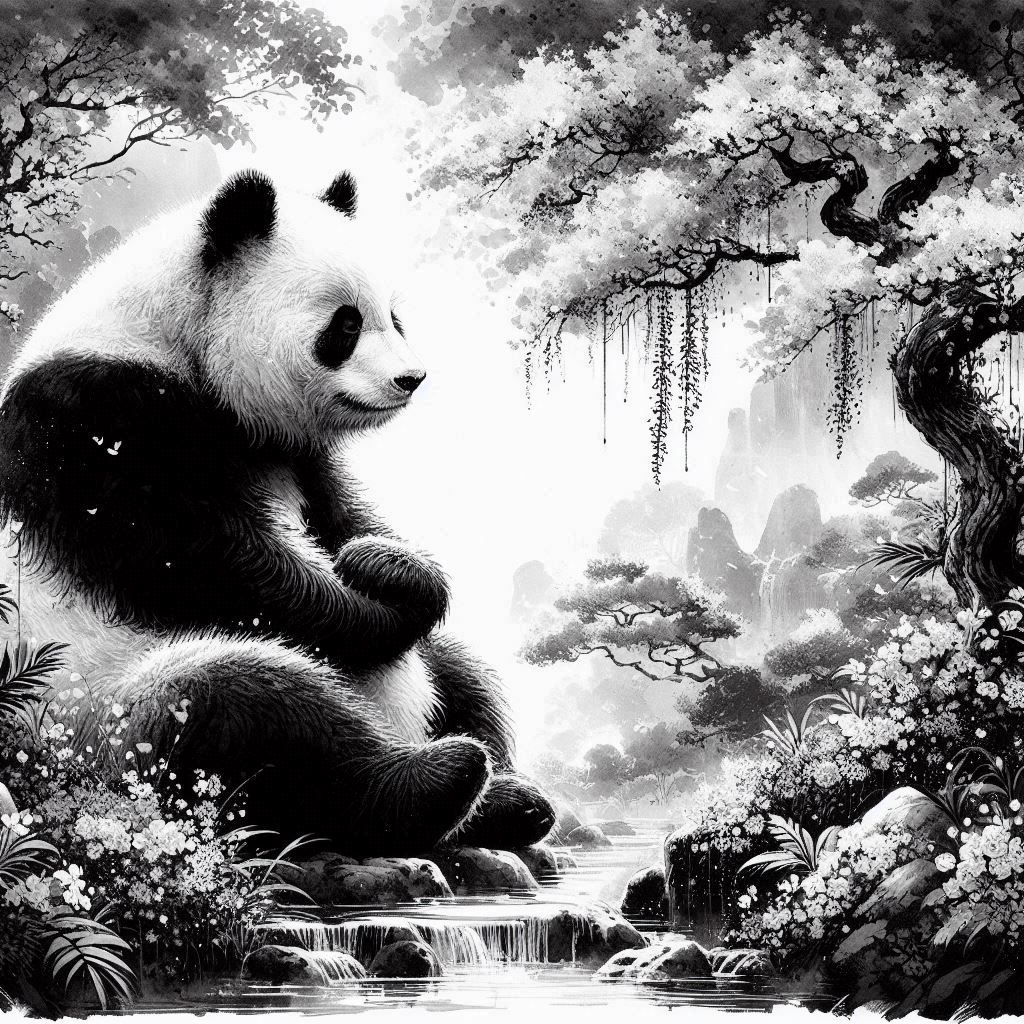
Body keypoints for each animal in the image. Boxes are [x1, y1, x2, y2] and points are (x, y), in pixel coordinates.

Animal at [0, 170, 554, 856]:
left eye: (394, 316)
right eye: (345, 325)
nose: (412, 378)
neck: (172, 336)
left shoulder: (293, 454)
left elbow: (344, 519)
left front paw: (391, 565)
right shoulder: (88, 421)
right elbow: (202, 558)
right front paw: (384, 594)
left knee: (462, 673)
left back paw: (507, 799)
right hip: (101, 711)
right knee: (255, 714)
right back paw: (434, 780)